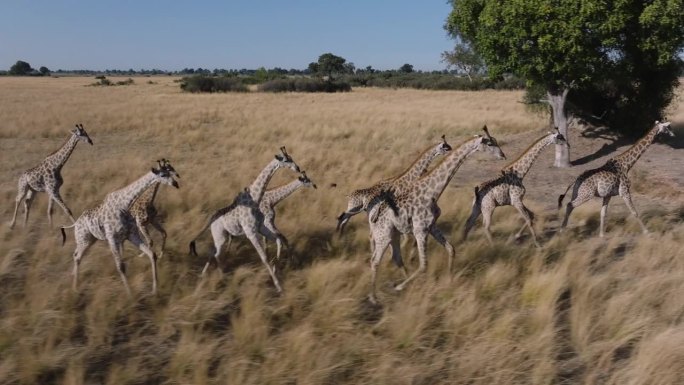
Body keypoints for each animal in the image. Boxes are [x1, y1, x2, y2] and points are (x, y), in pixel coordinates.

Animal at [60, 160, 180, 296]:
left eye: (171, 172)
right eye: (163, 175)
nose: (176, 183)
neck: (124, 205)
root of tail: (75, 224)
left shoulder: (132, 234)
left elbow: (151, 254)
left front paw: (154, 289)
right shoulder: (112, 238)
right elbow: (121, 266)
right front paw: (130, 295)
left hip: (90, 240)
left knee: (75, 254)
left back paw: (73, 278)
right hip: (83, 240)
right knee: (77, 257)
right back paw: (75, 288)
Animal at [190, 146, 302, 292]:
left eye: (292, 157)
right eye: (286, 160)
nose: (298, 168)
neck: (255, 199)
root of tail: (210, 220)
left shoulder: (260, 227)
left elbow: (277, 240)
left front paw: (278, 272)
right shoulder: (250, 232)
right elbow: (264, 257)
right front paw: (278, 286)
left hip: (221, 236)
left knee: (213, 252)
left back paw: (206, 275)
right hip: (220, 236)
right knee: (216, 254)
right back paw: (222, 276)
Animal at [368, 129, 508, 304]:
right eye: (489, 143)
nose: (503, 155)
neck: (432, 192)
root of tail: (374, 216)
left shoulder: (432, 226)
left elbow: (451, 249)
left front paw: (450, 281)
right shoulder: (420, 230)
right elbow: (424, 265)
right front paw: (400, 286)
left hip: (394, 234)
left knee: (396, 257)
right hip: (384, 235)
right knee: (375, 261)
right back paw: (374, 297)